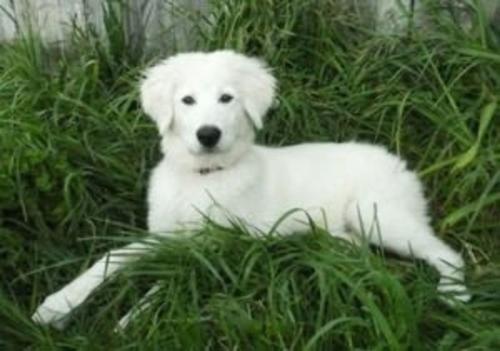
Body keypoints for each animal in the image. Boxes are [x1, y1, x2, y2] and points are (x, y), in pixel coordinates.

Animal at [33, 51, 470, 332]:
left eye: (227, 98)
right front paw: (56, 306)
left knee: (447, 254)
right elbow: (111, 259)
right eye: (187, 100)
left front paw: (132, 316)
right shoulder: (165, 235)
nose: (208, 135)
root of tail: (399, 162)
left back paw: (454, 294)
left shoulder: (221, 244)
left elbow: (174, 276)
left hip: (375, 211)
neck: (204, 177)